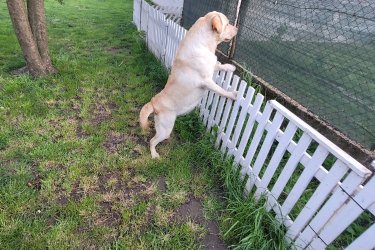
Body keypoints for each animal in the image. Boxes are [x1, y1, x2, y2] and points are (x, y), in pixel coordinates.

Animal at [140, 11, 239, 158]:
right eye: (227, 24)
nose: (237, 29)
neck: (203, 43)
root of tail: (153, 102)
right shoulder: (206, 81)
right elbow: (220, 90)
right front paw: (232, 95)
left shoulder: (211, 66)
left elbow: (218, 65)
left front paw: (230, 67)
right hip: (165, 127)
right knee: (152, 141)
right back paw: (154, 155)